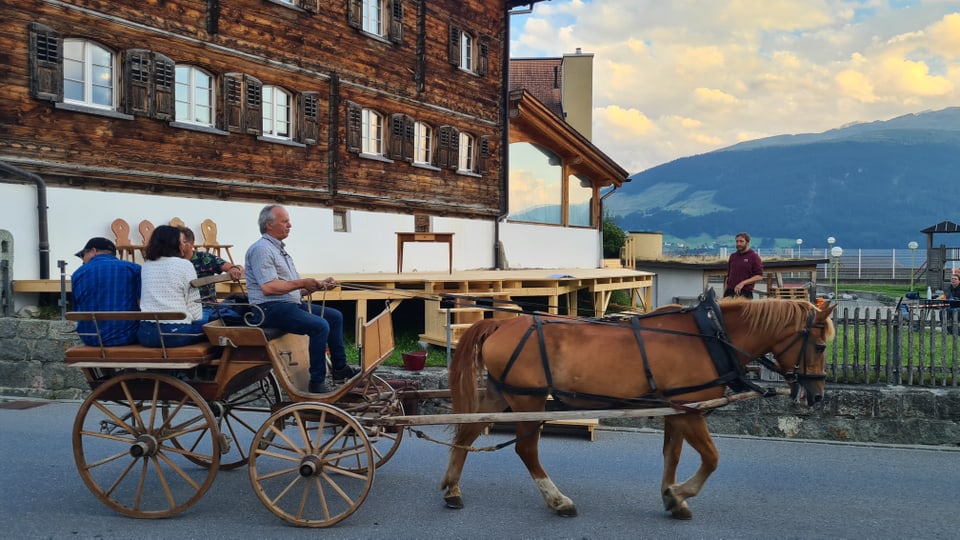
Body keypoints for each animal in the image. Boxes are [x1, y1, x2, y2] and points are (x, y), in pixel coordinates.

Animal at [440, 296, 832, 520]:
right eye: (820, 345)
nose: (816, 396)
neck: (709, 335)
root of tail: (500, 323)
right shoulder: (690, 410)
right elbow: (711, 459)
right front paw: (680, 494)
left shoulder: (676, 410)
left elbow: (672, 455)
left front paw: (672, 498)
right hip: (528, 399)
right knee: (525, 449)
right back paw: (558, 500)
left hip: (504, 392)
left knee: (469, 429)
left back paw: (452, 489)